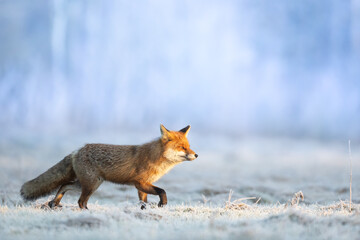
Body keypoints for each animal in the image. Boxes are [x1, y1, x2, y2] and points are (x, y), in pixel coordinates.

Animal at [21, 124, 198, 209]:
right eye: (182, 147)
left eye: (189, 146)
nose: (196, 155)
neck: (156, 157)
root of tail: (77, 150)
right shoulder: (139, 182)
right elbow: (162, 191)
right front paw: (162, 203)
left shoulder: (143, 186)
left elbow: (144, 202)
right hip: (91, 185)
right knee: (80, 201)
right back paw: (86, 213)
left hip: (87, 183)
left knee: (64, 185)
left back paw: (54, 203)